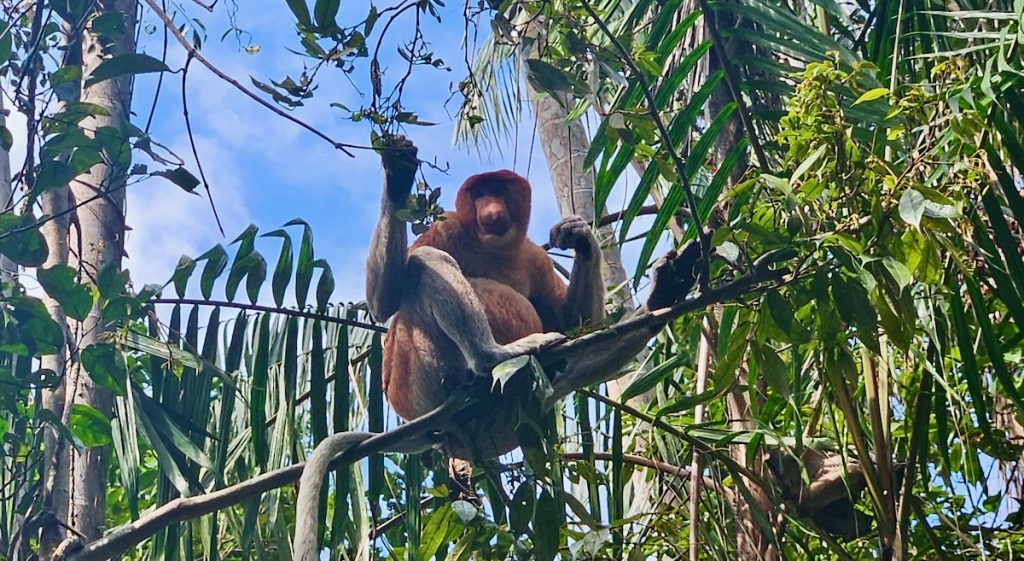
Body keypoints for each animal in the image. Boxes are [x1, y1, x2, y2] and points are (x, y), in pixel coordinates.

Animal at [293, 136, 605, 561]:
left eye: (499, 190)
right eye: (480, 193)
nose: (491, 209)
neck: (493, 248)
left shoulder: (535, 257)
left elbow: (572, 319)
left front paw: (579, 237)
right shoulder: (448, 227)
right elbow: (385, 300)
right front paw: (398, 175)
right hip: (416, 375)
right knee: (425, 262)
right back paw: (494, 359)